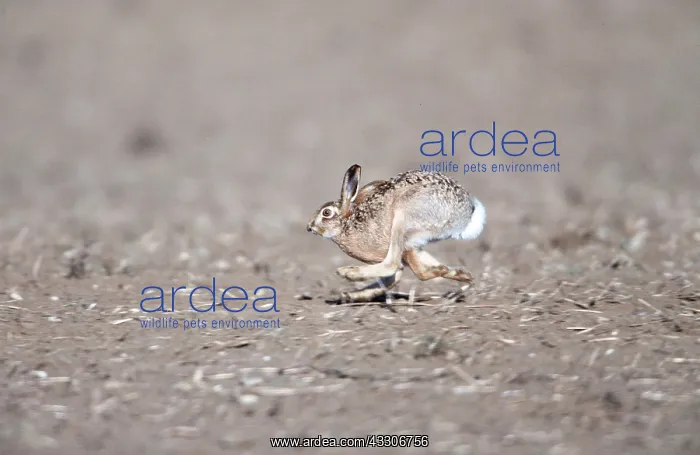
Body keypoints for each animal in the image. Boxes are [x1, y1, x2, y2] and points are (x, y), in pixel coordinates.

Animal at [306, 164, 485, 300]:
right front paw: (351, 296)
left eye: (326, 213)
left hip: (402, 216)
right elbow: (393, 279)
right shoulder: (409, 250)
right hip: (413, 241)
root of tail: (466, 213)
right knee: (422, 269)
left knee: (394, 264)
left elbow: (393, 271)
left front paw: (349, 288)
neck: (348, 223)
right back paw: (460, 275)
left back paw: (348, 273)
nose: (309, 227)